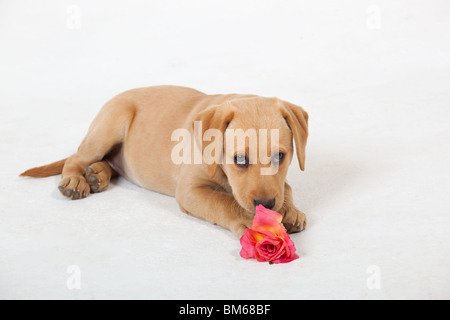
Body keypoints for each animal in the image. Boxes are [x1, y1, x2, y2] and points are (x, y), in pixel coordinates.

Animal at [22, 85, 310, 238]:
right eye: (239, 159)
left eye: (280, 157)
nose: (266, 205)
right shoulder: (190, 190)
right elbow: (223, 201)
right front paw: (251, 221)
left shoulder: (278, 182)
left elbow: (286, 187)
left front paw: (291, 210)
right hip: (110, 125)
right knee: (76, 157)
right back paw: (75, 180)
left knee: (110, 164)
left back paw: (97, 175)